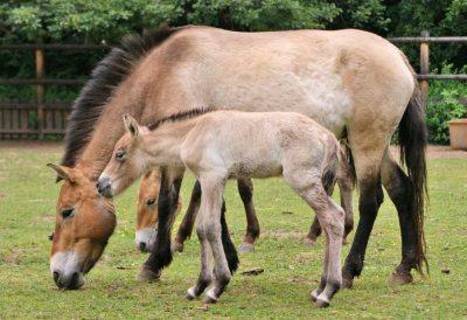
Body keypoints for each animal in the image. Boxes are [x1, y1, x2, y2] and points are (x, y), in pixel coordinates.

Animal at [98, 110, 348, 308]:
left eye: (119, 154)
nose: (101, 185)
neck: (194, 132)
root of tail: (328, 137)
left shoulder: (212, 178)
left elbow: (211, 227)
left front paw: (217, 286)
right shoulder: (211, 181)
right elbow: (202, 229)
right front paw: (198, 286)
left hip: (303, 182)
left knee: (334, 217)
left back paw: (328, 291)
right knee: (328, 223)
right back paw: (319, 288)